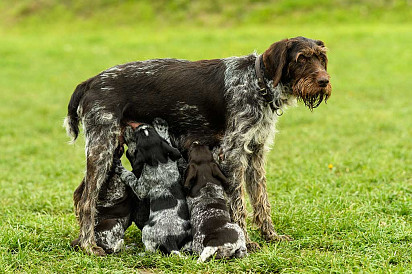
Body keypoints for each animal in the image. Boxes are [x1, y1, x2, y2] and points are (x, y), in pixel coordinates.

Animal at [116, 120, 192, 255]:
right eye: (152, 130)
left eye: (137, 136)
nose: (142, 125)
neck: (159, 160)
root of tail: (170, 240)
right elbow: (169, 143)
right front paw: (161, 125)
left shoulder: (141, 188)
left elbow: (131, 177)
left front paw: (122, 170)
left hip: (146, 231)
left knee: (151, 251)